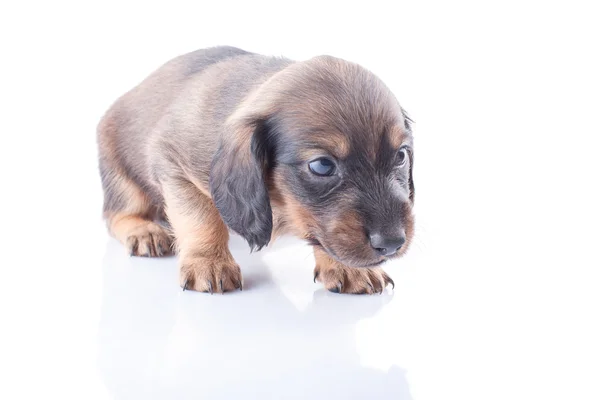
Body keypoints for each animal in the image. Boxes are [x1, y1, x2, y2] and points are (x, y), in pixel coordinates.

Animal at [99, 46, 418, 294]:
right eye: (322, 165)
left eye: (401, 155)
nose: (392, 243)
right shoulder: (173, 163)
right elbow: (200, 218)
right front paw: (208, 261)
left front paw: (346, 267)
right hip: (121, 177)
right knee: (117, 215)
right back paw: (144, 232)